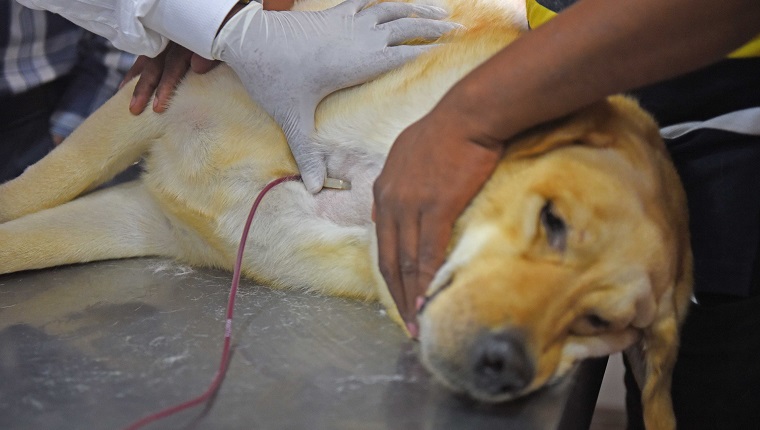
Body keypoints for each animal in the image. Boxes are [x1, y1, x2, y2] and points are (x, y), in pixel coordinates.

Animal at [0, 0, 688, 428]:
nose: (507, 368)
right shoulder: (155, 113)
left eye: (600, 323)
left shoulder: (144, 220)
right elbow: (29, 191)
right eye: (553, 222)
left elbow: (21, 239)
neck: (359, 187)